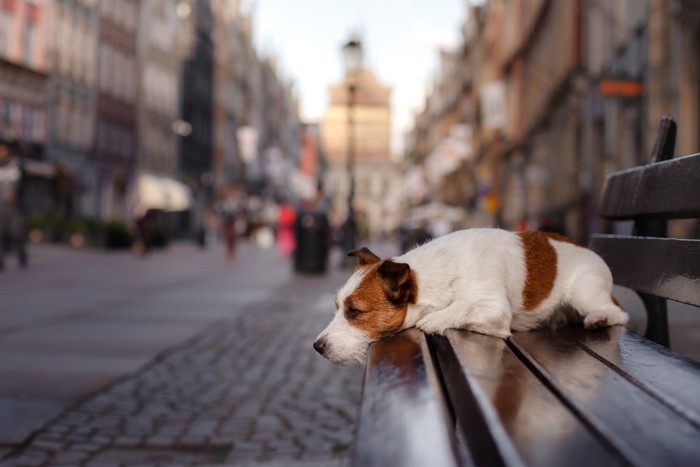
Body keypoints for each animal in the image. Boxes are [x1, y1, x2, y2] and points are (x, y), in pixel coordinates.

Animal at [312, 228, 628, 366]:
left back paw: (600, 318)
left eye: (354, 312)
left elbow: (462, 306)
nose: (317, 346)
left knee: (618, 312)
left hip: (584, 291)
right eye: (338, 308)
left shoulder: (496, 309)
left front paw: (436, 318)